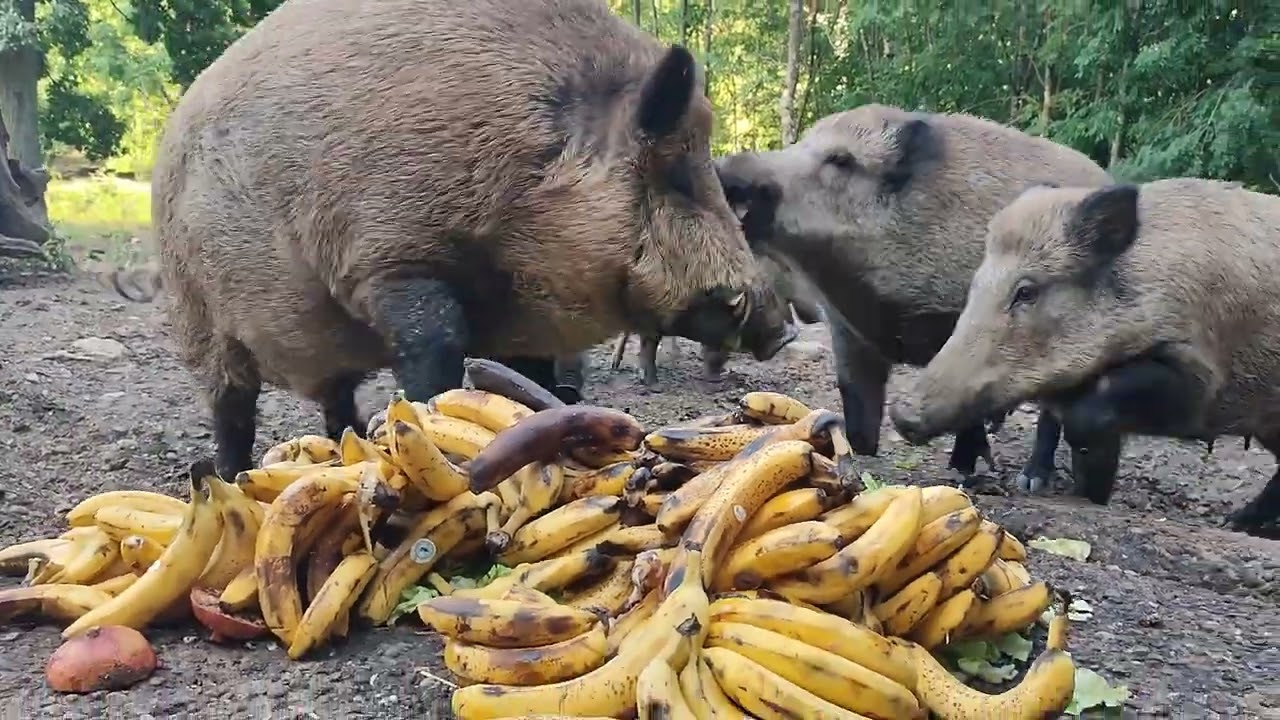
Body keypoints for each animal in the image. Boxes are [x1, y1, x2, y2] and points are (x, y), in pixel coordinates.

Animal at [129, 0, 797, 478]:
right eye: (677, 174)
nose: (783, 328)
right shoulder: (387, 259)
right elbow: (437, 346)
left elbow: (532, 377)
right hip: (198, 317)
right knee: (230, 407)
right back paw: (228, 475)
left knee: (335, 398)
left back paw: (341, 444)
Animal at [714, 102, 1117, 487]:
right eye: (800, 143)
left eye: (841, 159)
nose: (724, 167)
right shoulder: (848, 330)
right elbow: (854, 394)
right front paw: (855, 446)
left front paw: (963, 473)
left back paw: (1033, 480)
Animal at [890, 178, 1280, 536]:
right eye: (976, 286)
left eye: (1026, 292)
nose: (901, 414)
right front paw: (1085, 491)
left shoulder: (1200, 375)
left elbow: (1087, 416)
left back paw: (1238, 525)